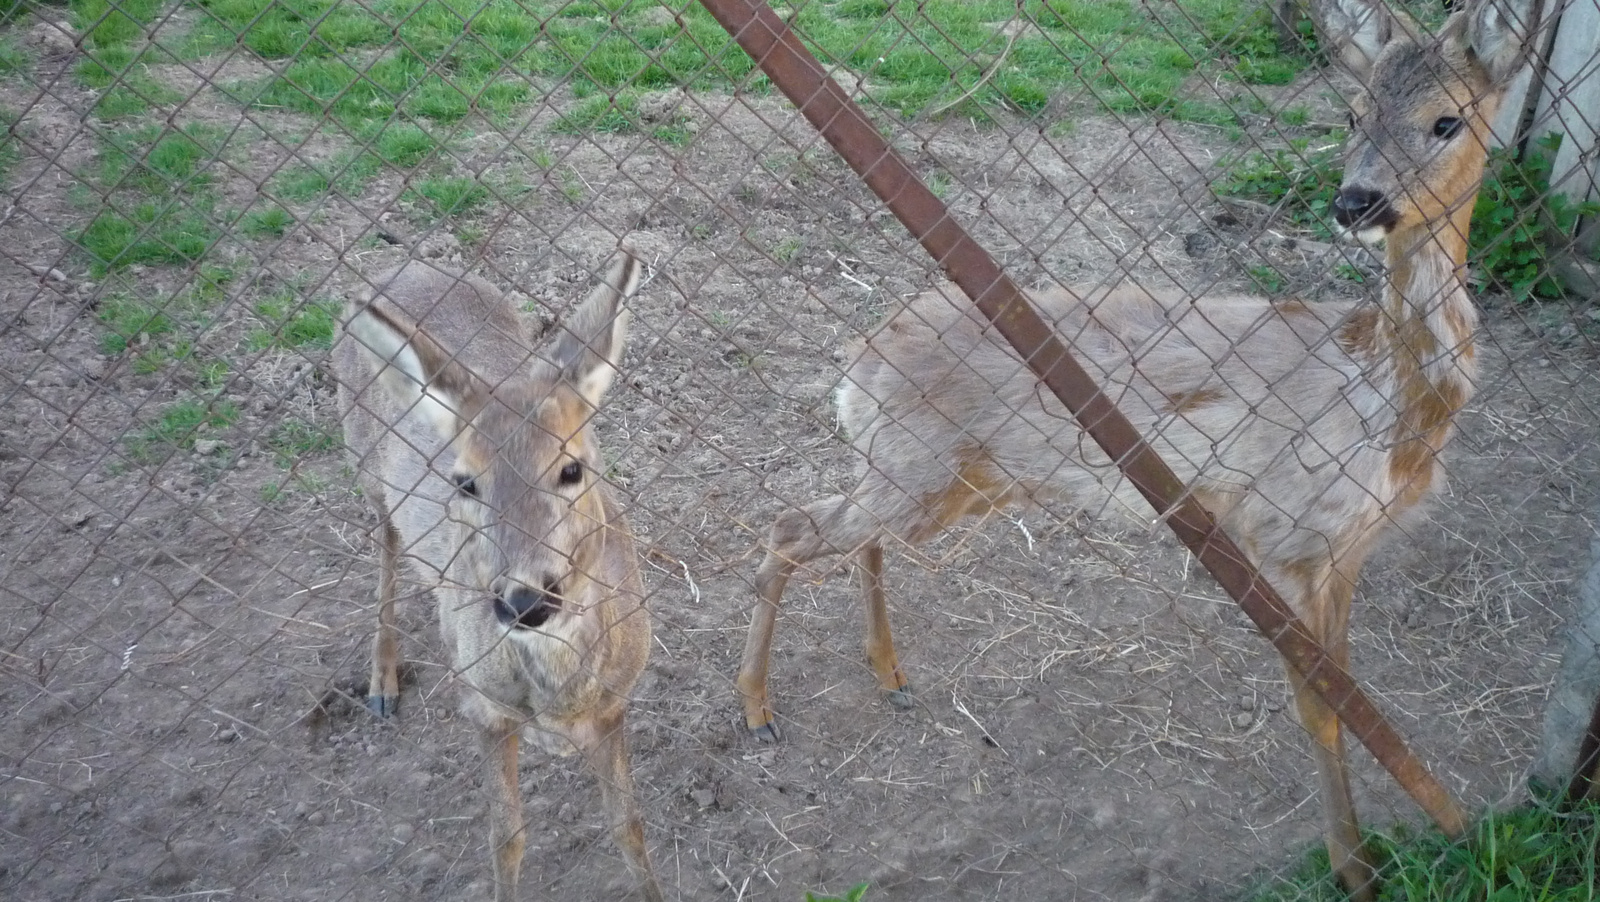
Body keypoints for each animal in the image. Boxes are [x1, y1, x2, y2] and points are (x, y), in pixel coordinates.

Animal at [337, 247, 662, 902]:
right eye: (466, 482)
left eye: (571, 468)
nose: (525, 601)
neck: (560, 702)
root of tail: (393, 269)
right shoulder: (482, 706)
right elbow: (505, 837)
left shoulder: (618, 702)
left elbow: (628, 824)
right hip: (362, 461)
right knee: (386, 541)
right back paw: (382, 681)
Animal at [736, 1, 1523, 895]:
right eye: (1353, 114)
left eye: (1447, 119)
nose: (1356, 201)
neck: (1385, 398)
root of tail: (857, 360)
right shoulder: (1286, 530)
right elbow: (1323, 710)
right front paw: (1354, 872)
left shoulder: (1348, 548)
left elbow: (1350, 694)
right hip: (915, 466)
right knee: (792, 524)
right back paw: (758, 712)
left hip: (944, 478)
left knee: (848, 534)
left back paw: (890, 676)